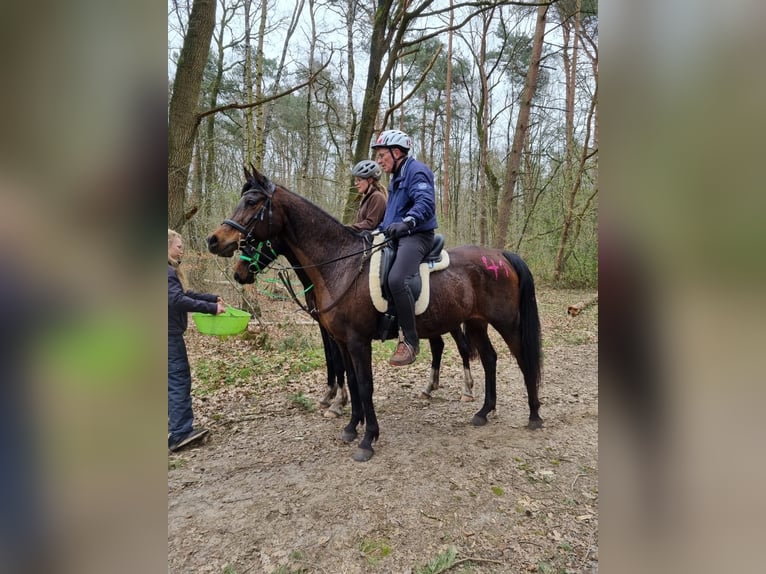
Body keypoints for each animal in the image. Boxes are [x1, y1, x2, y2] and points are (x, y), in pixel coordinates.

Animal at [232, 232, 477, 408]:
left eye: (255, 241)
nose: (238, 273)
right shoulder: (328, 328)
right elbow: (332, 358)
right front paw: (332, 396)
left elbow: (336, 360)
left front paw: (338, 400)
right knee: (438, 346)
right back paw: (429, 388)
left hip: (451, 321)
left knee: (462, 348)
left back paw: (467, 389)